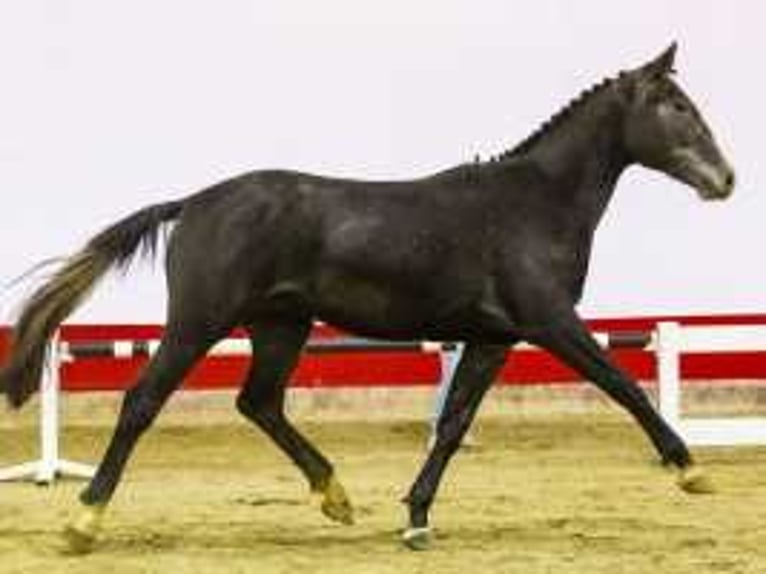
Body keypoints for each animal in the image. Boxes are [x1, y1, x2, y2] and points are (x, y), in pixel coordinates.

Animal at [0, 42, 736, 556]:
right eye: (676, 106)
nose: (724, 179)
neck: (534, 205)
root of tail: (194, 203)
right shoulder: (551, 322)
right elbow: (624, 385)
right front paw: (691, 471)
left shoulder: (493, 338)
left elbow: (454, 425)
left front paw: (415, 520)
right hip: (199, 323)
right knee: (143, 401)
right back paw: (83, 522)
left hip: (281, 325)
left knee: (259, 403)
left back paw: (337, 496)